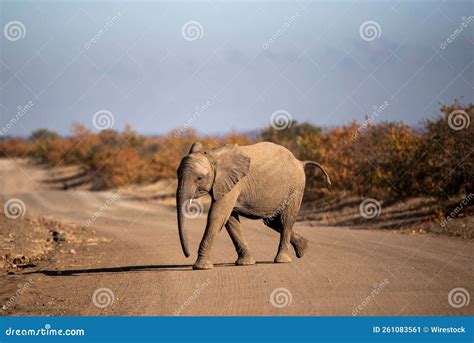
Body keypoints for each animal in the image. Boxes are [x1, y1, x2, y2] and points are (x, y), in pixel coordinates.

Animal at [176, 141, 332, 270]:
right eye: (177, 175)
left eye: (199, 178)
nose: (187, 255)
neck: (212, 155)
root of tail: (300, 161)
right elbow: (230, 220)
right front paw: (246, 263)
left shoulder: (234, 183)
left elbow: (217, 216)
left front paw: (200, 267)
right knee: (271, 221)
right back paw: (303, 248)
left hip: (296, 187)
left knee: (286, 219)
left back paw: (282, 260)